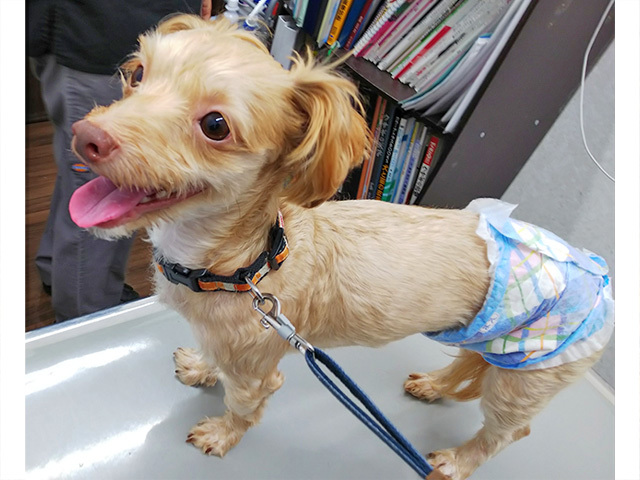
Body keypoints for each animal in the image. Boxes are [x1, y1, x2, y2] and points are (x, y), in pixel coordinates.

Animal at [68, 14, 614, 479]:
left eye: (216, 125)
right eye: (138, 74)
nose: (87, 135)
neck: (247, 267)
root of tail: (601, 278)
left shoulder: (255, 370)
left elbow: (243, 406)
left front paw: (221, 434)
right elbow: (211, 356)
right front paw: (202, 367)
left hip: (529, 376)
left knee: (509, 431)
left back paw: (458, 461)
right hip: (490, 345)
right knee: (468, 368)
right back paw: (434, 385)